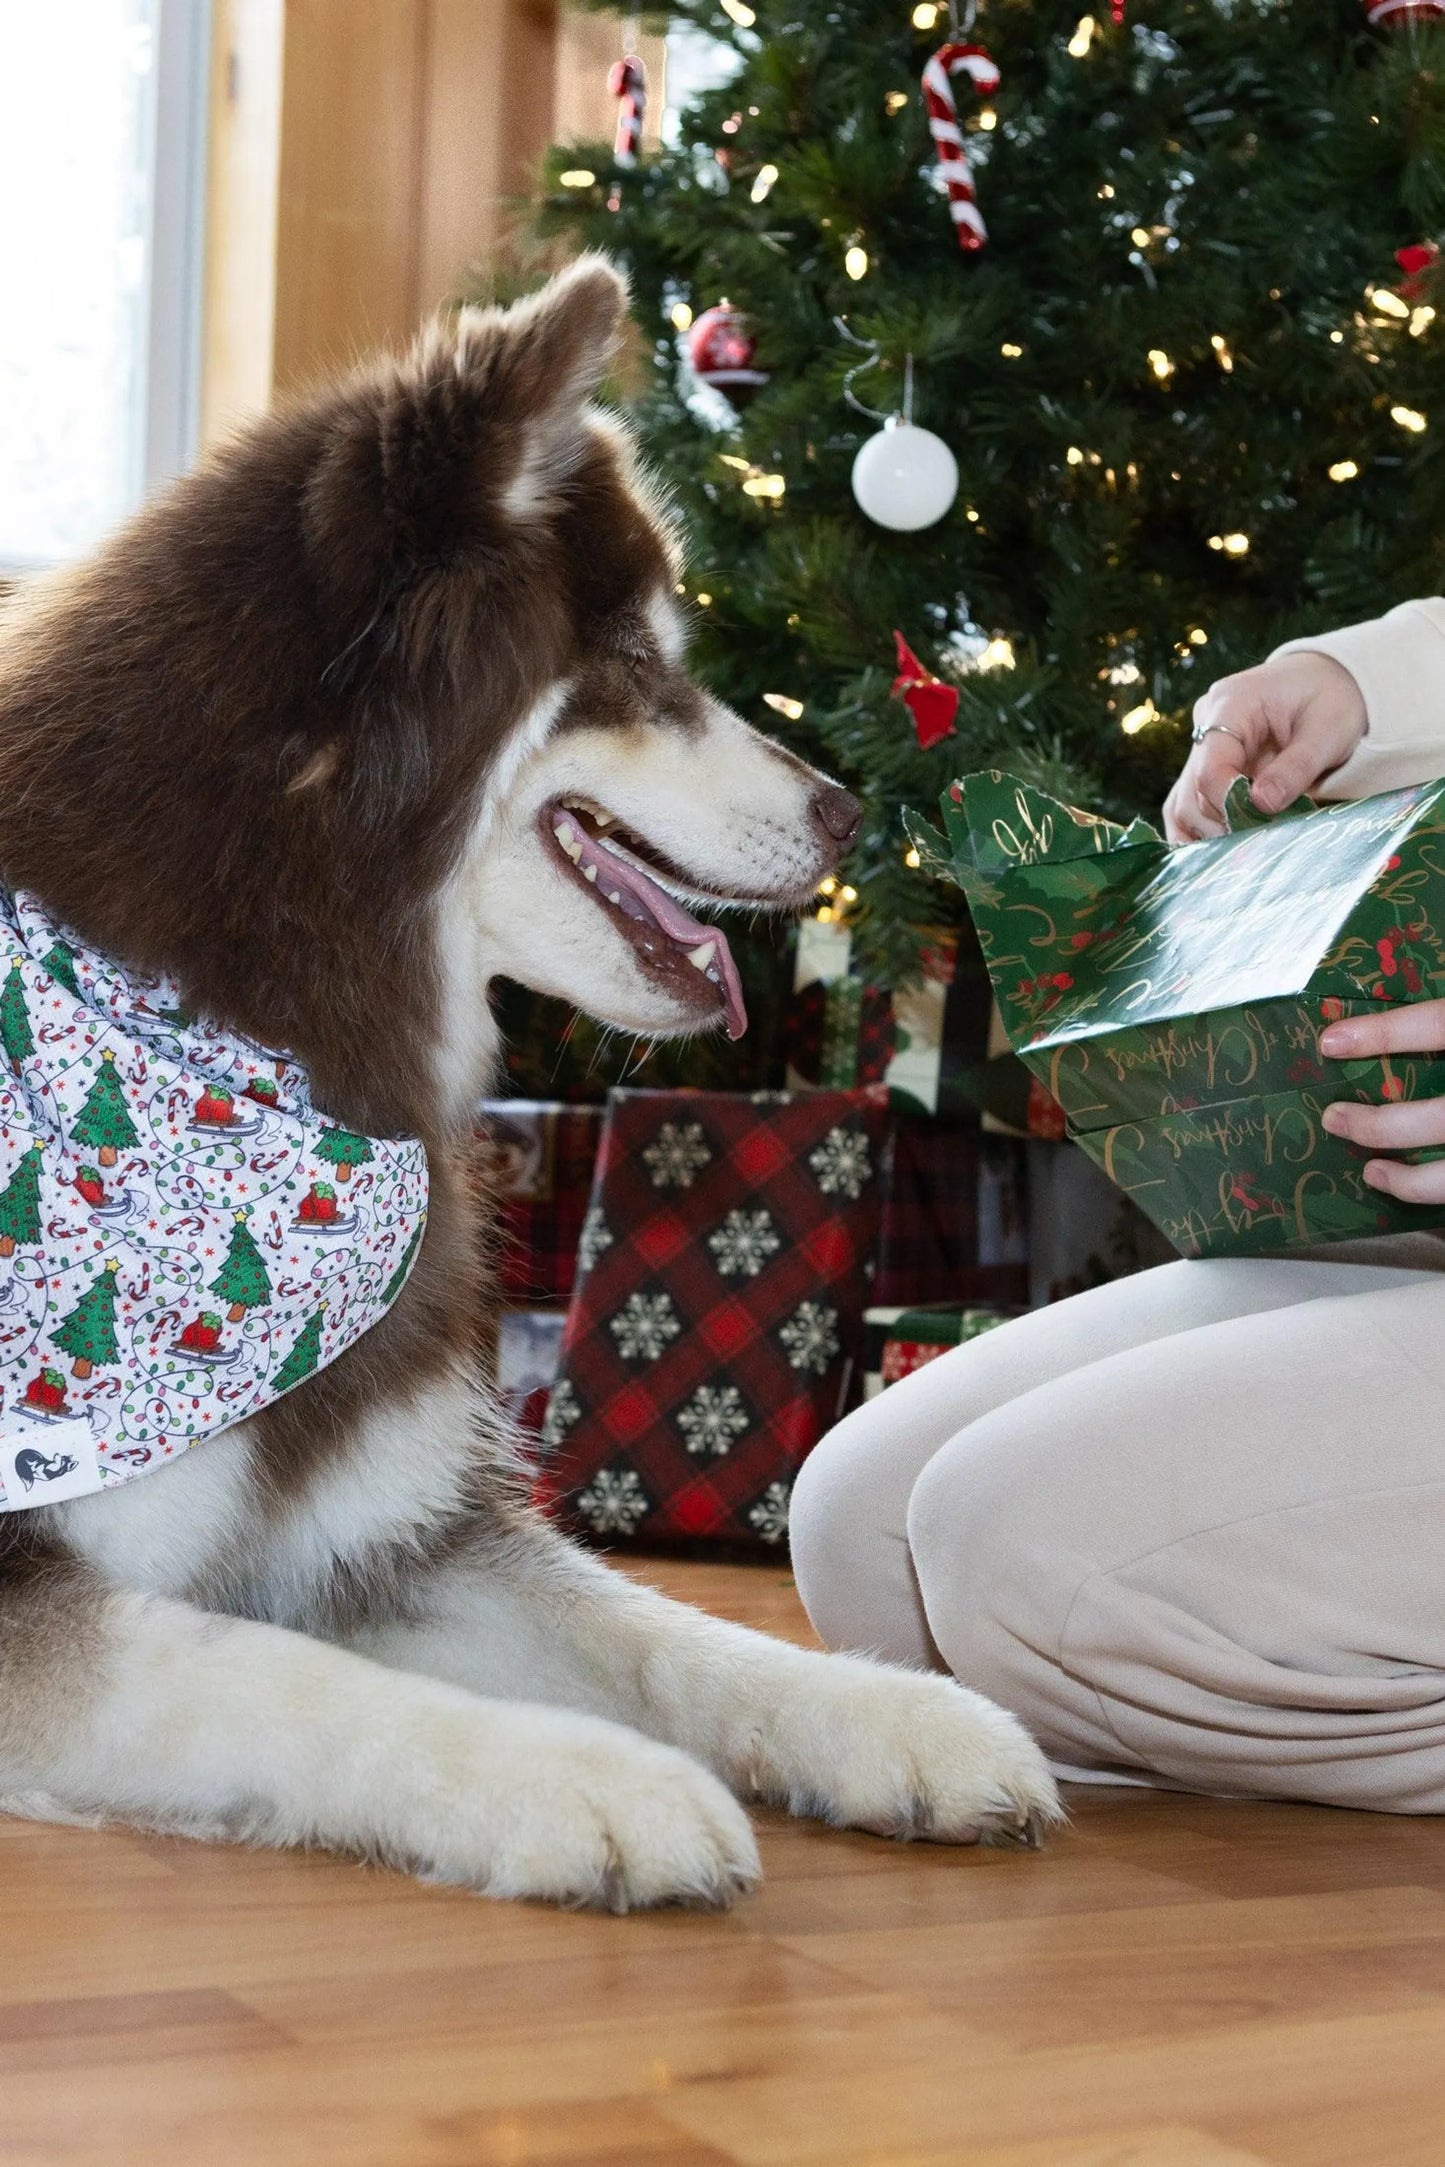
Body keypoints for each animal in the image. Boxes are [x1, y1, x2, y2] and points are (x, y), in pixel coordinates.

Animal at [0, 262, 1061, 1906]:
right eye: (631, 660)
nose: (850, 809)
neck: (236, 1004)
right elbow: (267, 1673)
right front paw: (588, 1781)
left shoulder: (384, 1538)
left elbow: (654, 1626)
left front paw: (894, 1713)